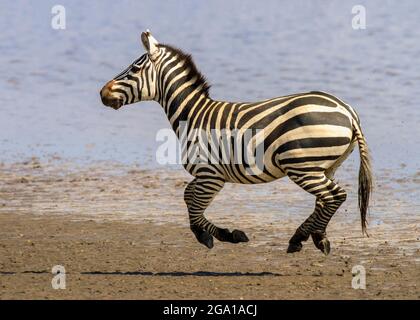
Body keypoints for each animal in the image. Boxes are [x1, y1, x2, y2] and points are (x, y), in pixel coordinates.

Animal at [100, 30, 372, 255]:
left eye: (134, 70)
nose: (102, 93)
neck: (194, 114)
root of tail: (347, 111)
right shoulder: (206, 175)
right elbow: (188, 197)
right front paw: (220, 234)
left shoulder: (210, 174)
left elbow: (194, 207)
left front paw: (215, 236)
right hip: (324, 166)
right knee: (326, 199)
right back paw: (309, 236)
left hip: (303, 166)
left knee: (335, 195)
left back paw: (307, 237)